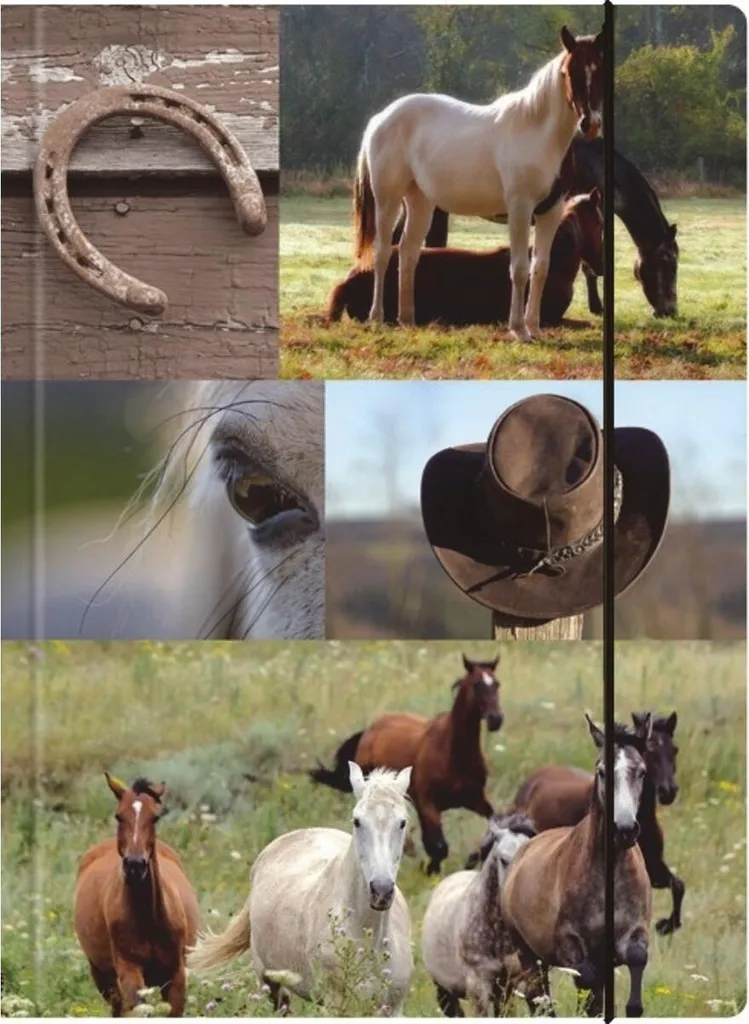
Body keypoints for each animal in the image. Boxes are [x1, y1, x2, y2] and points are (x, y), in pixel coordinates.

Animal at [74, 775, 199, 1017]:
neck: (150, 919)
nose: (134, 865)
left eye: (155, 818)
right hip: (103, 976)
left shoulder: (176, 974)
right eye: (119, 816)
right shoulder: (128, 971)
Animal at [187, 766, 414, 1016]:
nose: (381, 891)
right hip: (271, 983)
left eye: (402, 823)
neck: (368, 939)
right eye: (357, 821)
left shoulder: (393, 1008)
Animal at [309, 654, 502, 874]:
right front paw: (429, 870)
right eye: (477, 684)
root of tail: (369, 730)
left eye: (497, 684)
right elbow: (439, 847)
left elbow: (495, 824)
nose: (496, 719)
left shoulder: (475, 799)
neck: (454, 754)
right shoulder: (428, 804)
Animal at [468, 709, 683, 935]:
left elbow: (678, 885)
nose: (668, 791)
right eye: (650, 751)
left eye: (674, 749)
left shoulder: (654, 868)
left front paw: (667, 925)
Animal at [500, 714, 653, 1018]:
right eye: (602, 771)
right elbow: (587, 984)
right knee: (539, 997)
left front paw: (633, 1007)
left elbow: (636, 958)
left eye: (641, 771)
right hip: (528, 954)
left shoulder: (633, 932)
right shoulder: (571, 944)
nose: (625, 829)